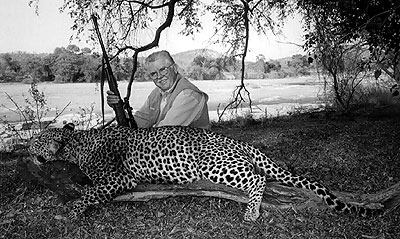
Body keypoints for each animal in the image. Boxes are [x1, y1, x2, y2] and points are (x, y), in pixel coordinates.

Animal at [28, 124, 378, 221]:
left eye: (35, 141)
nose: (27, 152)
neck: (76, 143)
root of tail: (238, 141)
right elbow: (85, 185)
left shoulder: (118, 178)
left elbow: (89, 191)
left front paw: (73, 210)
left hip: (214, 164)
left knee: (259, 178)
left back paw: (251, 212)